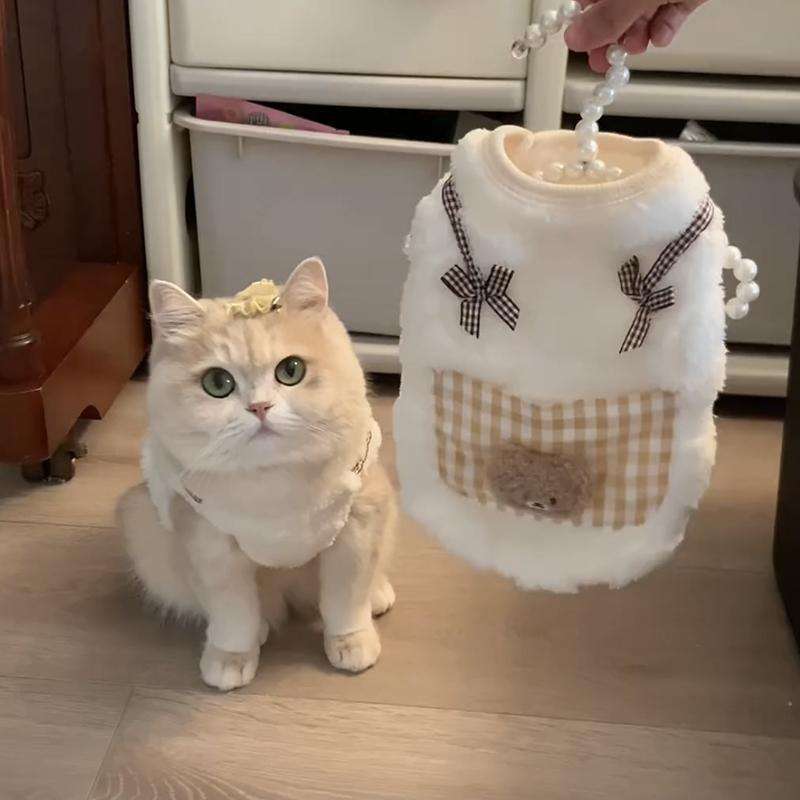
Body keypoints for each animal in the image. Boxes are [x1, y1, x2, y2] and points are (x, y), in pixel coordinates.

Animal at [118, 257, 396, 691]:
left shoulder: (358, 526)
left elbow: (345, 600)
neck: (275, 485)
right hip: (143, 528)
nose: (260, 408)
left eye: (291, 370)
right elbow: (233, 614)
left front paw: (351, 642)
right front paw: (231, 658)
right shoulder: (209, 546)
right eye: (218, 383)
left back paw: (378, 594)